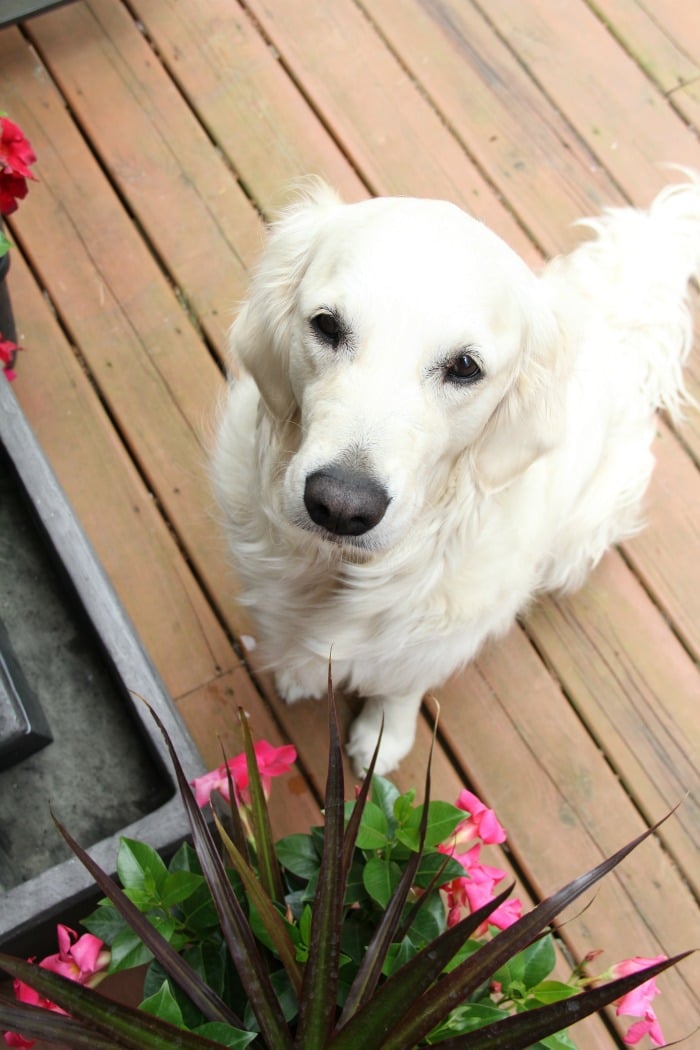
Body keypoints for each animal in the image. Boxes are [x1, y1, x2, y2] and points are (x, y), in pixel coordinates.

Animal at [215, 176, 700, 776]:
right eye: (326, 325)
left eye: (465, 367)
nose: (340, 506)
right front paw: (301, 673)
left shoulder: (434, 640)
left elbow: (399, 686)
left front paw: (383, 739)